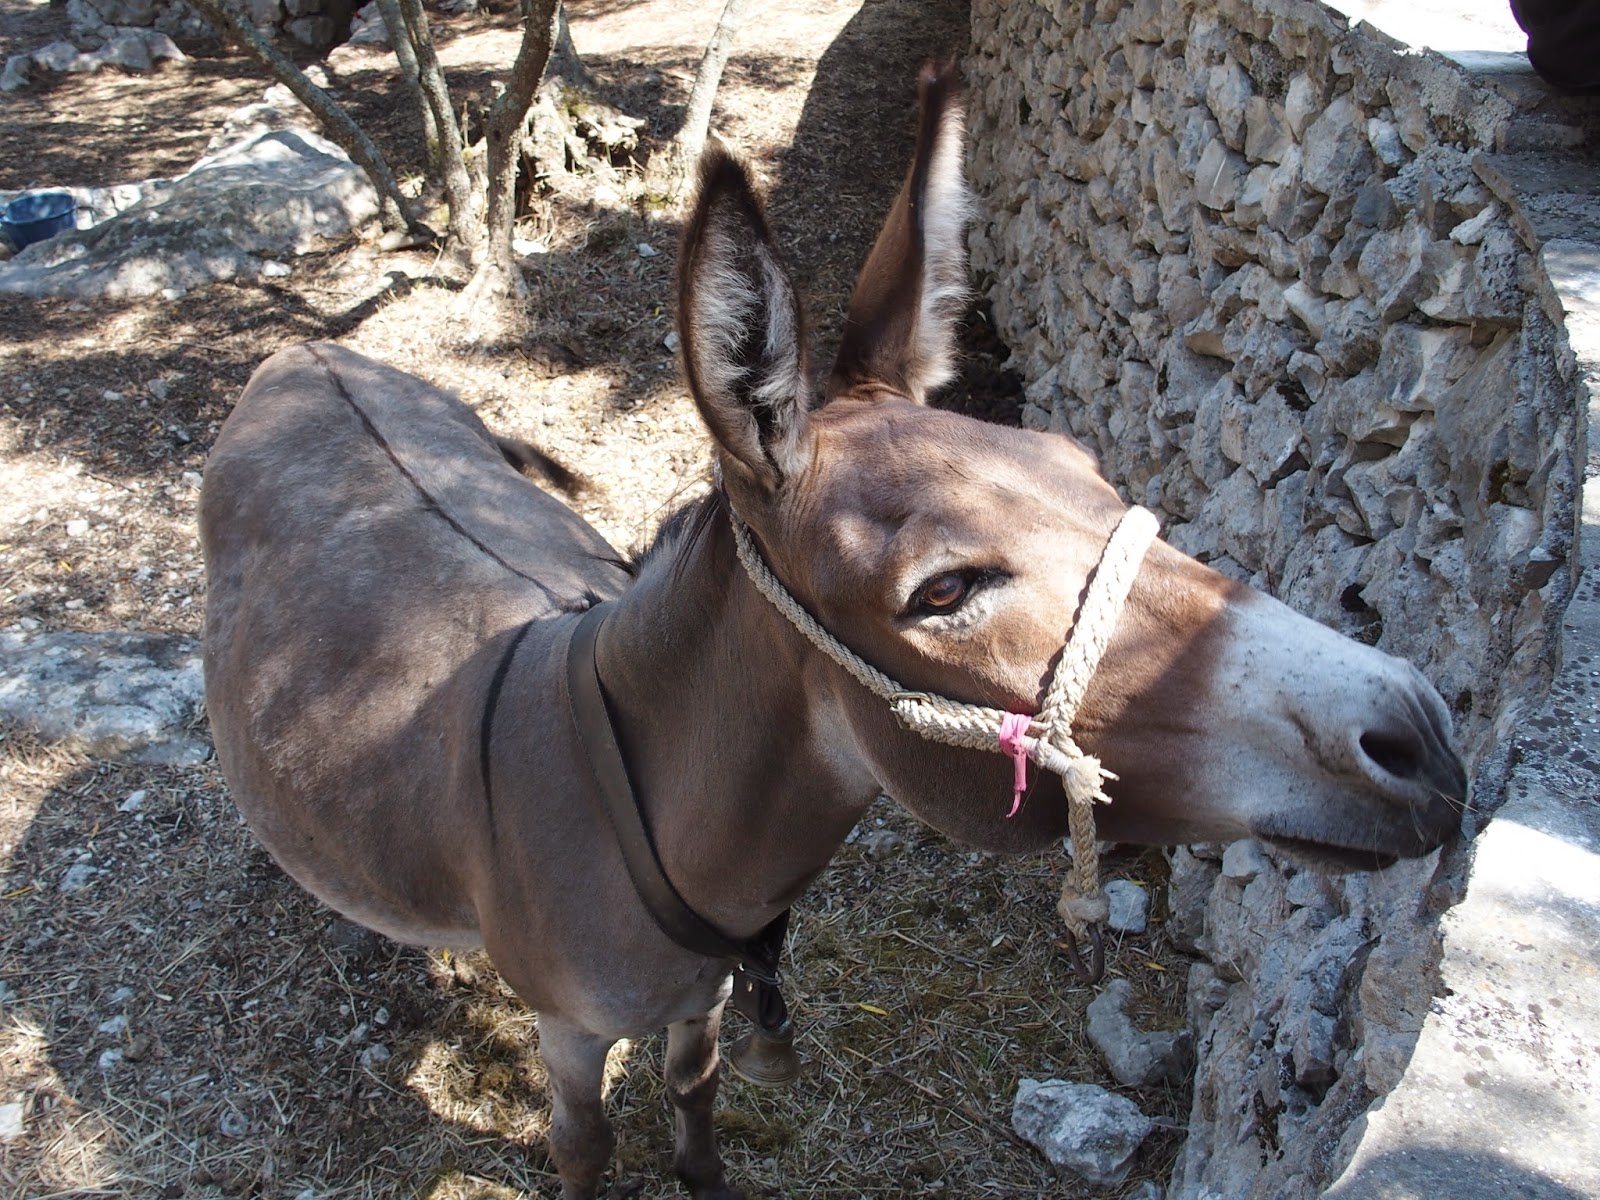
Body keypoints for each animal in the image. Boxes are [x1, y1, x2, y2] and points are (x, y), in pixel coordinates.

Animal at [200, 62, 1466, 1200]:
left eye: (1087, 471)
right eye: (943, 593)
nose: (1422, 739)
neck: (644, 818)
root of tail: (308, 348)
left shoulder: (705, 998)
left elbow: (697, 1096)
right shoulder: (567, 1030)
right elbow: (583, 1149)